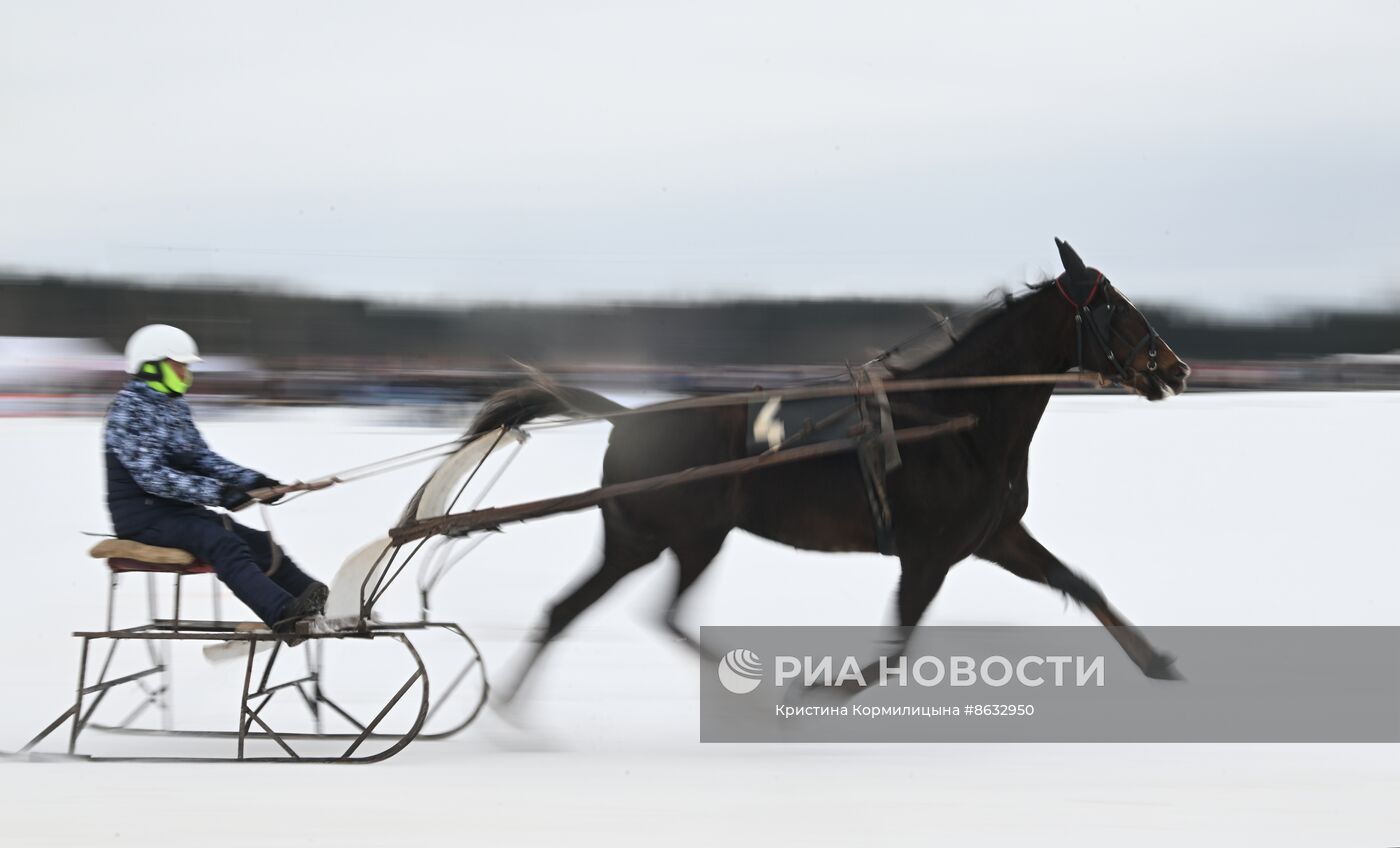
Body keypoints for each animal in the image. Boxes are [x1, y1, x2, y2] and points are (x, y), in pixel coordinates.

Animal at [473, 239, 1192, 696]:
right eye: (1114, 305)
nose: (1178, 367)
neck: (958, 418)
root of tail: (628, 417)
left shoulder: (992, 535)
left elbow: (1079, 583)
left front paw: (1159, 661)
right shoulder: (929, 553)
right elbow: (894, 650)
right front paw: (817, 689)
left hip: (639, 538)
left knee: (570, 610)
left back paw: (512, 710)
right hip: (689, 535)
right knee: (655, 613)